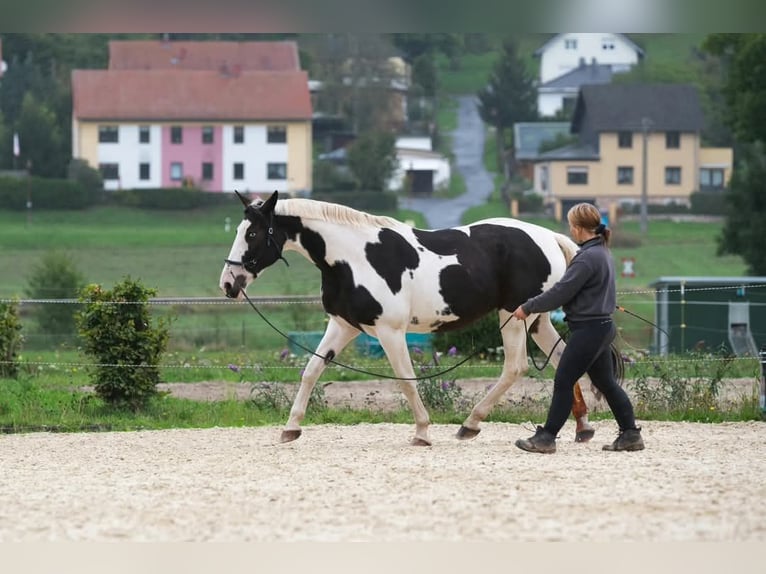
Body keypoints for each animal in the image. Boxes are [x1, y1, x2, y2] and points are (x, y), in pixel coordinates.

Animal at [219, 191, 596, 448]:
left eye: (252, 234)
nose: (228, 283)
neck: (352, 257)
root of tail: (549, 238)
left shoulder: (390, 331)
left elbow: (405, 379)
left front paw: (422, 432)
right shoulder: (342, 326)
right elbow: (311, 371)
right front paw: (291, 428)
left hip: (515, 316)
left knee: (515, 367)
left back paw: (470, 424)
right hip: (537, 318)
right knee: (562, 357)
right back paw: (582, 427)